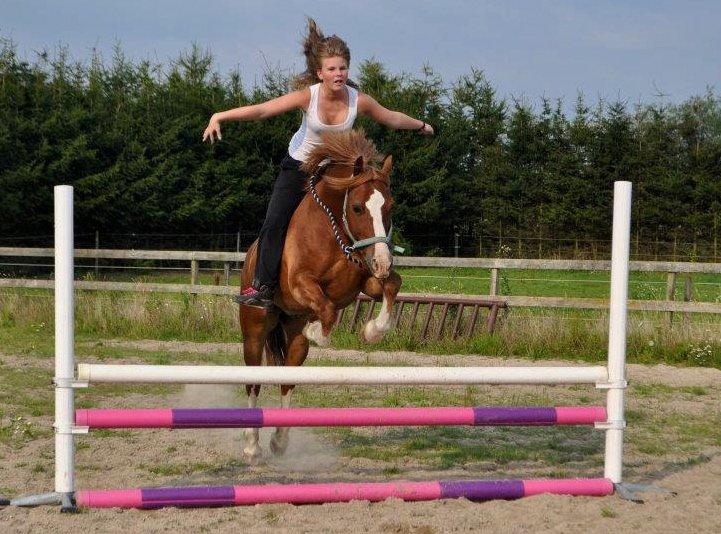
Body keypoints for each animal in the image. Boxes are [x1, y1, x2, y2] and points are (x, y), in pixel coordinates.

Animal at [239, 129, 402, 462]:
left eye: (389, 207)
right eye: (357, 208)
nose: (383, 261)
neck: (333, 230)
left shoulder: (365, 282)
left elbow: (392, 286)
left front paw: (373, 330)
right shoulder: (300, 282)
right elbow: (326, 309)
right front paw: (318, 331)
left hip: (293, 340)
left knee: (287, 380)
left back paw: (280, 440)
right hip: (254, 331)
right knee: (254, 382)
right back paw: (251, 445)